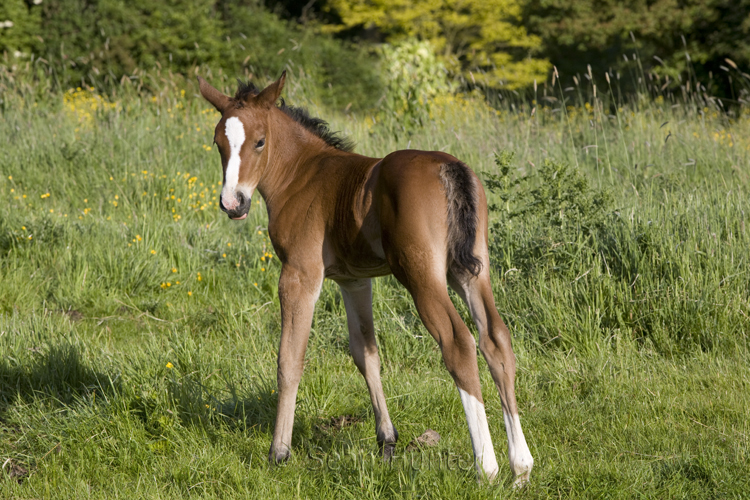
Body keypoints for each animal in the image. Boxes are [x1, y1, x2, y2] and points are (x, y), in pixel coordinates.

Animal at [200, 72, 536, 486]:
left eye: (260, 141)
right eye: (218, 143)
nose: (233, 203)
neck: (302, 175)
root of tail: (450, 167)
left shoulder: (299, 274)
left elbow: (289, 358)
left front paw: (279, 452)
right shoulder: (354, 281)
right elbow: (366, 353)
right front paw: (387, 442)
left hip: (421, 275)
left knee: (458, 343)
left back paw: (486, 466)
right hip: (471, 270)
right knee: (496, 339)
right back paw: (520, 467)